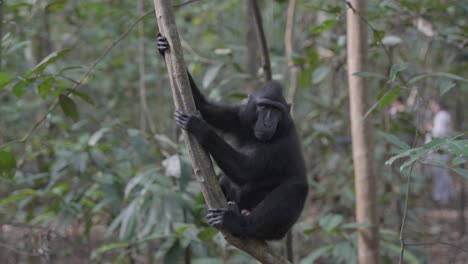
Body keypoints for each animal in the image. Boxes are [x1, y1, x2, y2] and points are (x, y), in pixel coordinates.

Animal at [158, 33, 308, 239]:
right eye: (263, 106)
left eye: (276, 110)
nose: (267, 122)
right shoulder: (242, 116)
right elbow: (206, 108)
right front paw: (162, 46)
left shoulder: (281, 143)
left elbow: (246, 172)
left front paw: (201, 128)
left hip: (277, 228)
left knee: (295, 189)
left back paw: (240, 224)